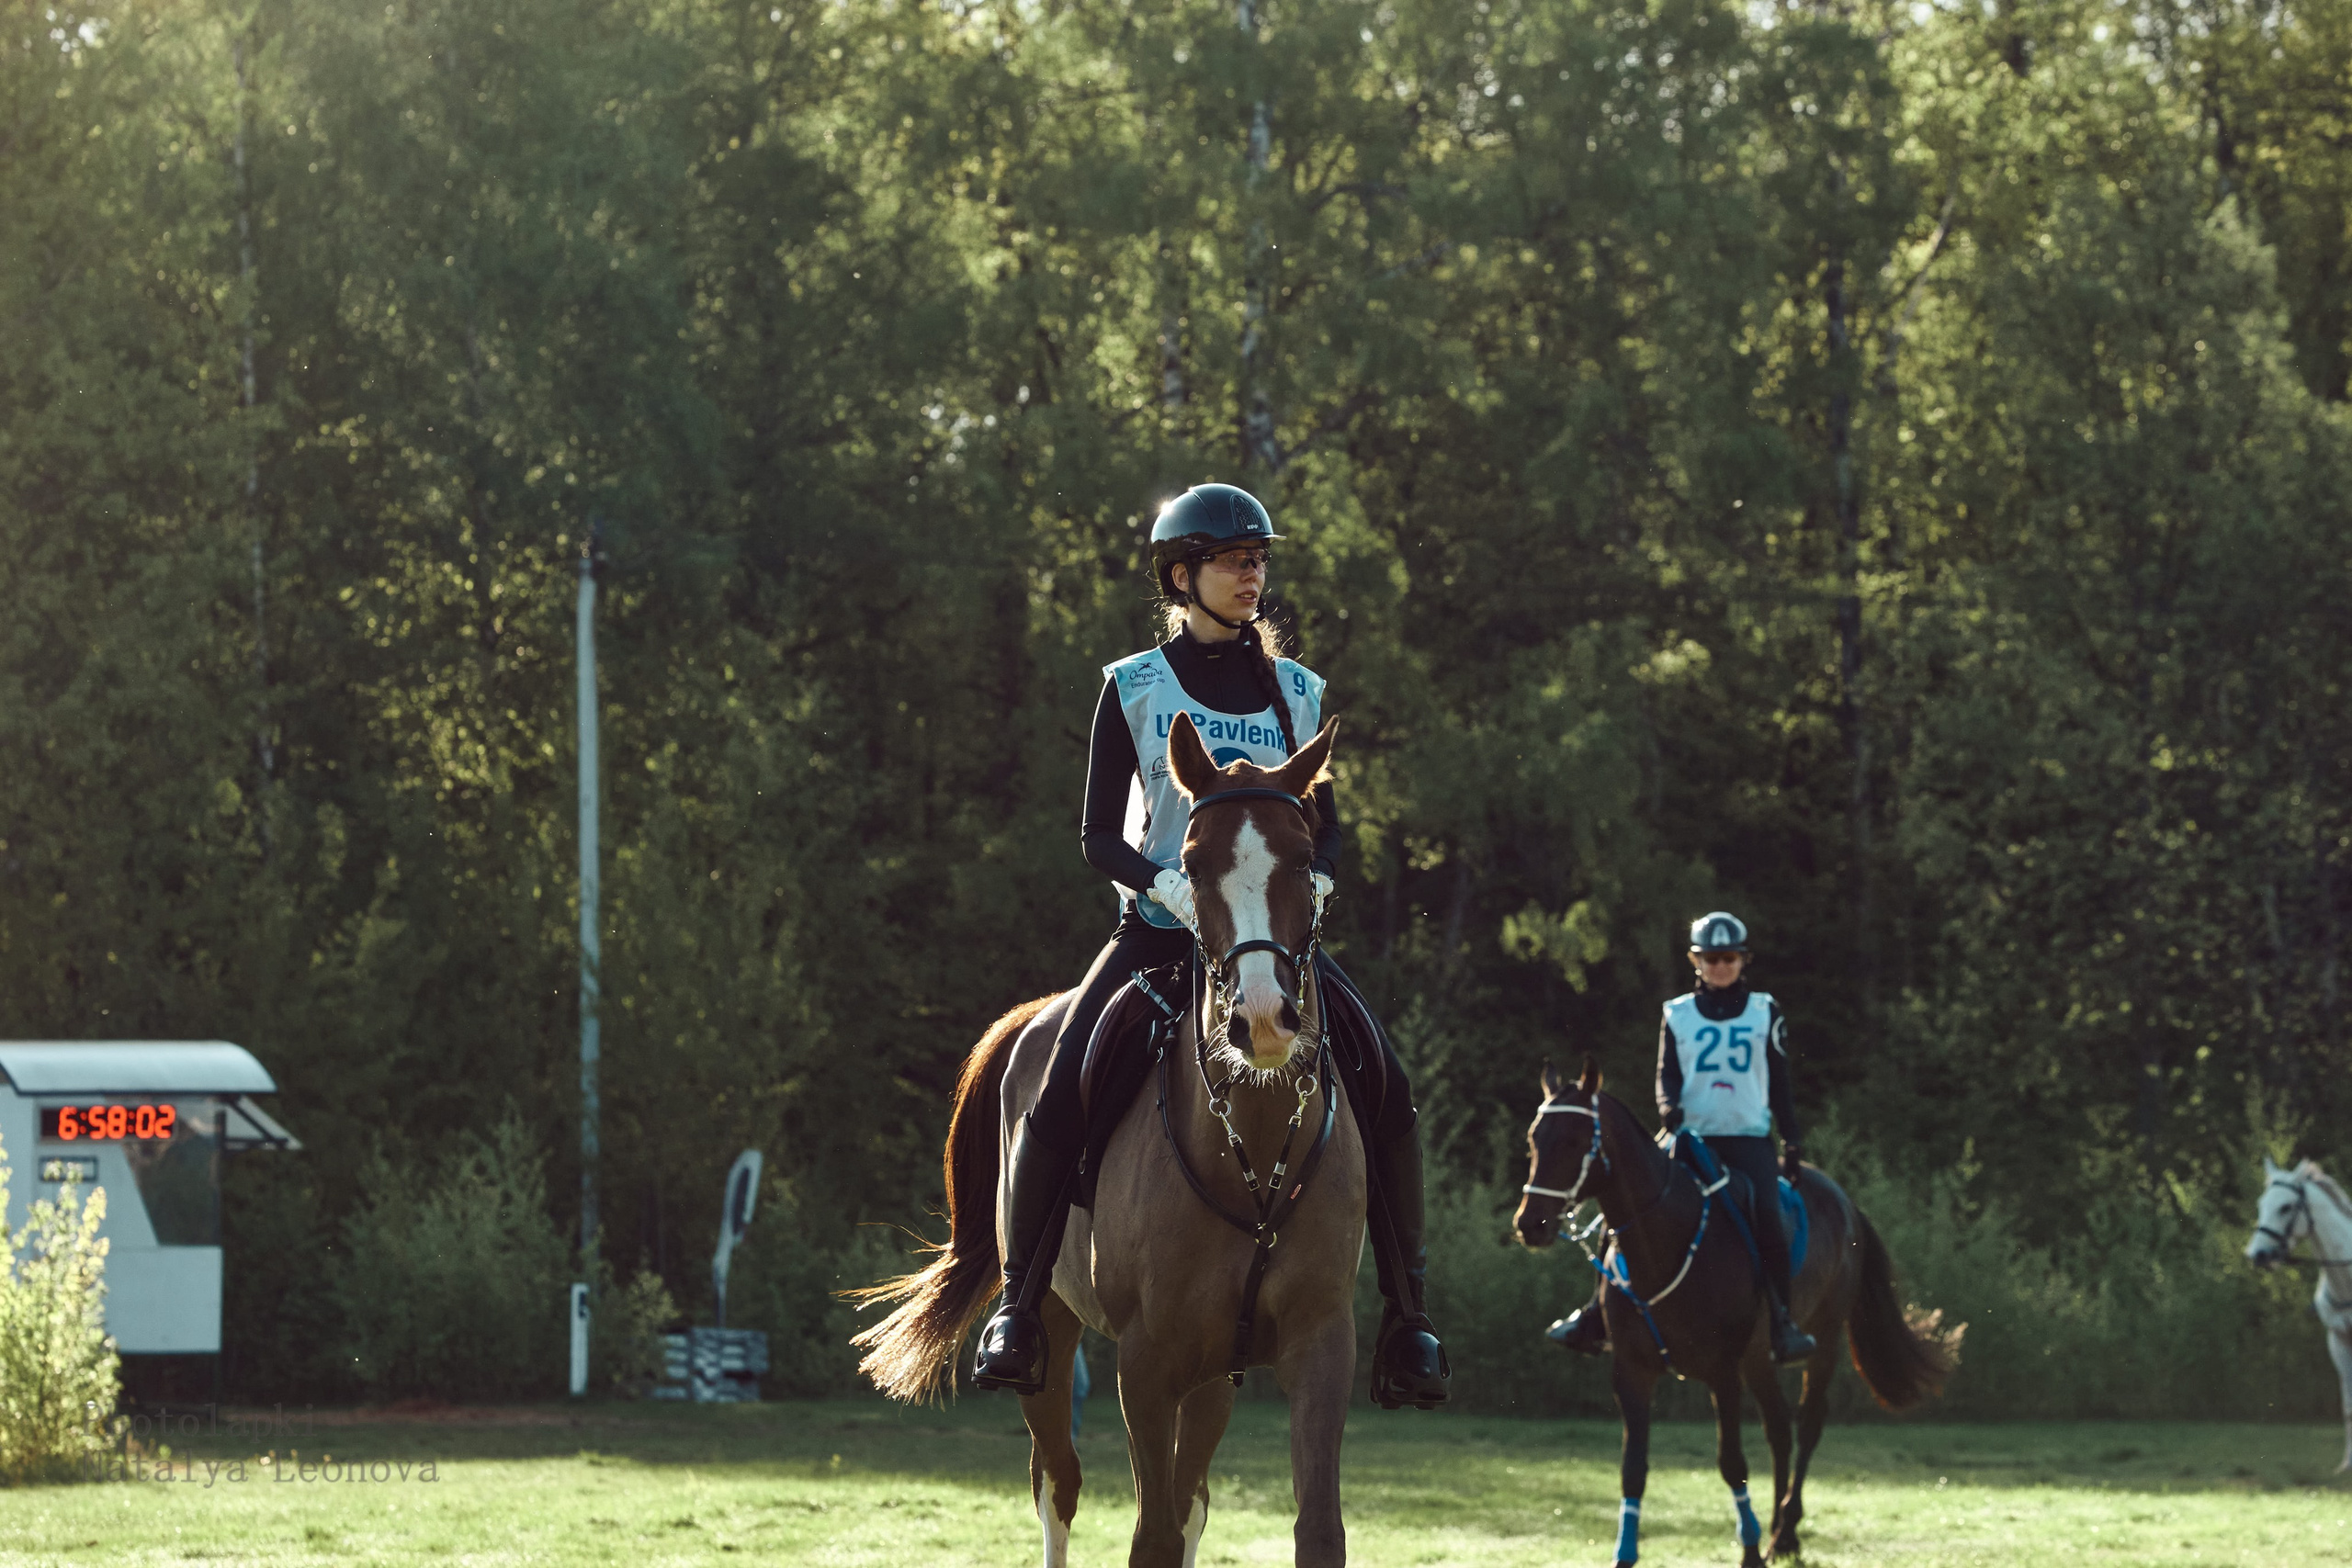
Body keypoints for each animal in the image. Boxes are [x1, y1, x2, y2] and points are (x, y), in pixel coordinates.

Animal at [851, 711, 1366, 1568]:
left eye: (1303, 858)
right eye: (1191, 863)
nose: (1261, 1018)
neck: (1252, 1155)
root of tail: (1039, 1012)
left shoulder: (1318, 1343)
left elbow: (1312, 1525)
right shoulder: (1145, 1361)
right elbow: (1148, 1532)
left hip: (1215, 1372)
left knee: (1190, 1499)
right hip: (1049, 1332)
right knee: (1057, 1483)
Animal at [1513, 1059, 1958, 1566]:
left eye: (1573, 1140)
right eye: (1534, 1139)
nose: (1531, 1224)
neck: (1665, 1240)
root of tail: (1845, 1201)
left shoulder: (1722, 1371)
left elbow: (1732, 1463)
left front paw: (1749, 1550)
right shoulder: (1632, 1371)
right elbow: (1633, 1468)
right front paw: (1625, 1554)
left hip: (1821, 1342)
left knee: (1808, 1423)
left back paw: (1782, 1532)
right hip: (1758, 1358)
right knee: (1779, 1428)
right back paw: (1781, 1533)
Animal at [2243, 1156, 2352, 1472]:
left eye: (2286, 1207)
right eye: (2261, 1203)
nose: (2257, 1255)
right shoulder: (2338, 1340)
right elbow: (2348, 1406)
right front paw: (2347, 1464)